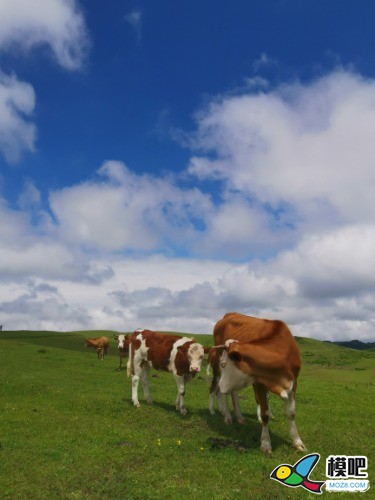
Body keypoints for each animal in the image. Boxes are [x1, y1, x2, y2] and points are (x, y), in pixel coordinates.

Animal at [212, 312, 306, 458]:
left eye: (224, 364)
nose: (221, 386)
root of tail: (229, 314)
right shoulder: (259, 383)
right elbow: (264, 413)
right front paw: (266, 444)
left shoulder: (293, 383)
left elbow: (291, 413)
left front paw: (297, 442)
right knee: (227, 395)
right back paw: (227, 416)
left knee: (234, 393)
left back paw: (239, 417)